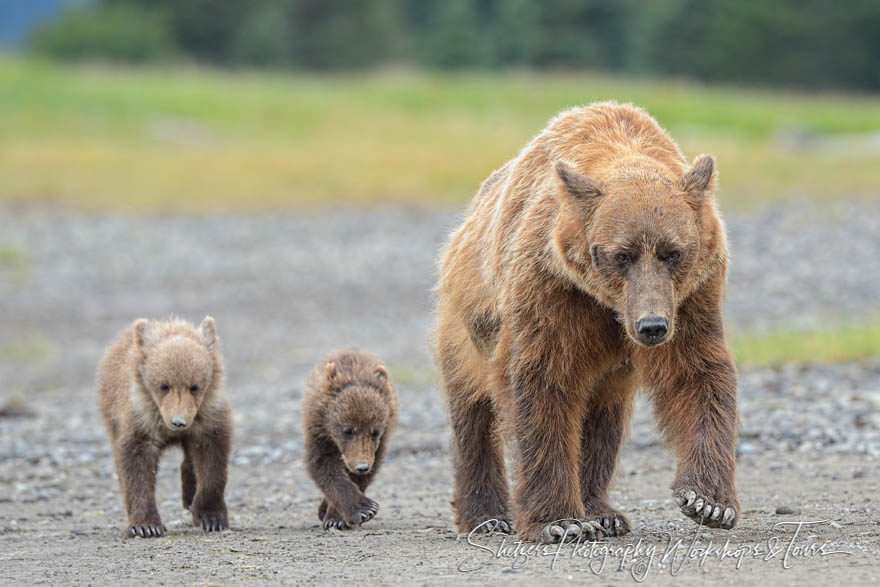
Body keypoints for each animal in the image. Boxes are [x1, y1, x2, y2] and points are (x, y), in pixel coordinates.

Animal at [436, 102, 740, 548]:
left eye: (673, 252)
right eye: (621, 255)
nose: (651, 326)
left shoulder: (691, 295)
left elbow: (697, 373)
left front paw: (708, 501)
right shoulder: (551, 287)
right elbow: (539, 383)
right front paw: (559, 521)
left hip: (610, 371)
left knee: (602, 420)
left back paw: (602, 512)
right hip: (466, 321)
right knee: (472, 410)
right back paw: (487, 516)